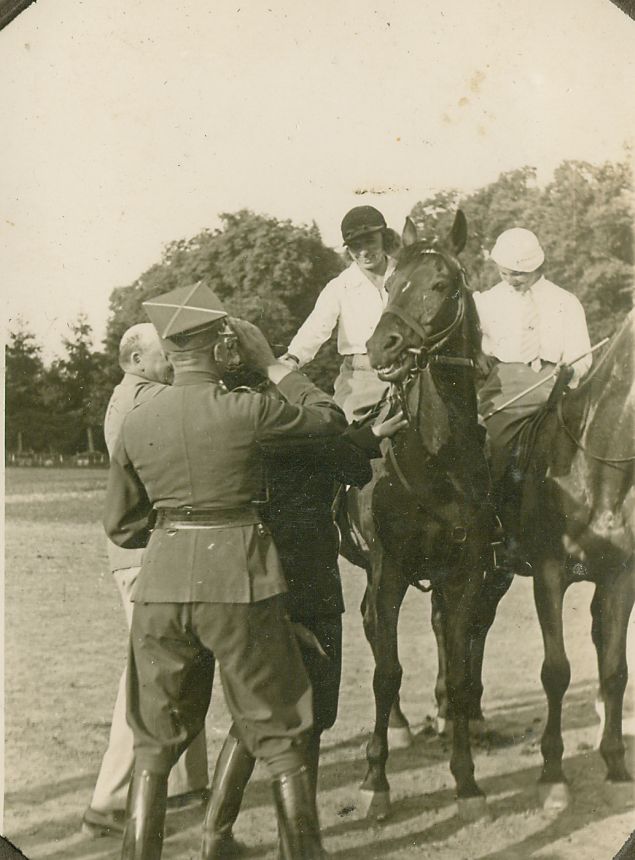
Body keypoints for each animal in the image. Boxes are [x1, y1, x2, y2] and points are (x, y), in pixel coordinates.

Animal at [344, 211, 508, 821]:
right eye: (392, 283)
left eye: (442, 285)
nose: (382, 346)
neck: (436, 460)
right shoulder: (388, 570)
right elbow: (386, 672)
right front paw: (375, 782)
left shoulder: (463, 572)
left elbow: (459, 671)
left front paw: (466, 780)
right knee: (373, 631)